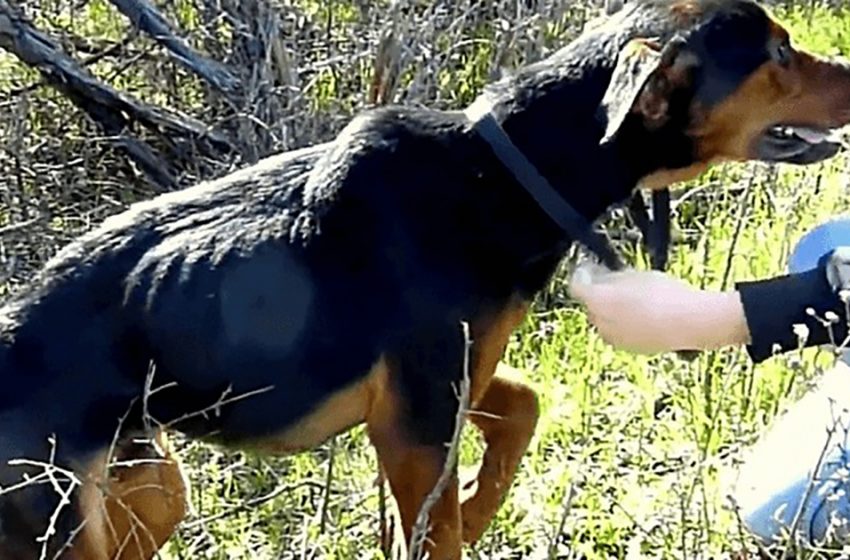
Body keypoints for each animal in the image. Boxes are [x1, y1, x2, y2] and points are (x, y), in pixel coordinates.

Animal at [1, 1, 848, 560]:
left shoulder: (449, 384)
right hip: (60, 523)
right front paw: (463, 520)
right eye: (777, 54)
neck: (496, 173)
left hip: (143, 488)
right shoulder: (414, 421)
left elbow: (520, 411)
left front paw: (476, 509)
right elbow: (437, 530)